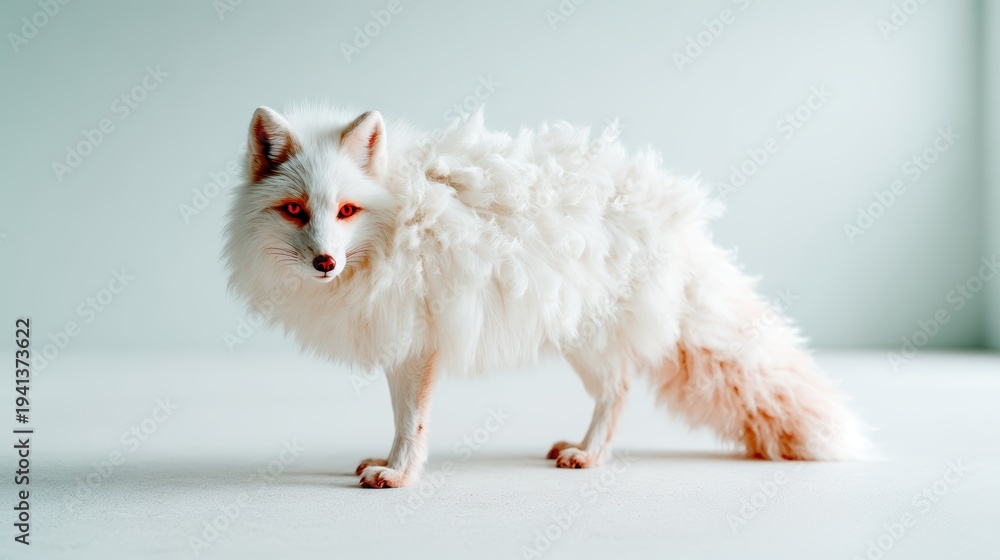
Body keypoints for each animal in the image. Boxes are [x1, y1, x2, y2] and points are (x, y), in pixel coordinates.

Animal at [223, 103, 870, 488]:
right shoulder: (400, 338)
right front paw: (388, 461)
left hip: (590, 343)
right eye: (295, 210)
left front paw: (400, 473)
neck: (399, 221)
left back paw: (589, 455)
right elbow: (400, 418)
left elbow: (413, 424)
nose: (325, 263)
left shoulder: (419, 340)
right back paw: (580, 446)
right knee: (617, 390)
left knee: (619, 391)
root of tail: (674, 214)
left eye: (346, 211)